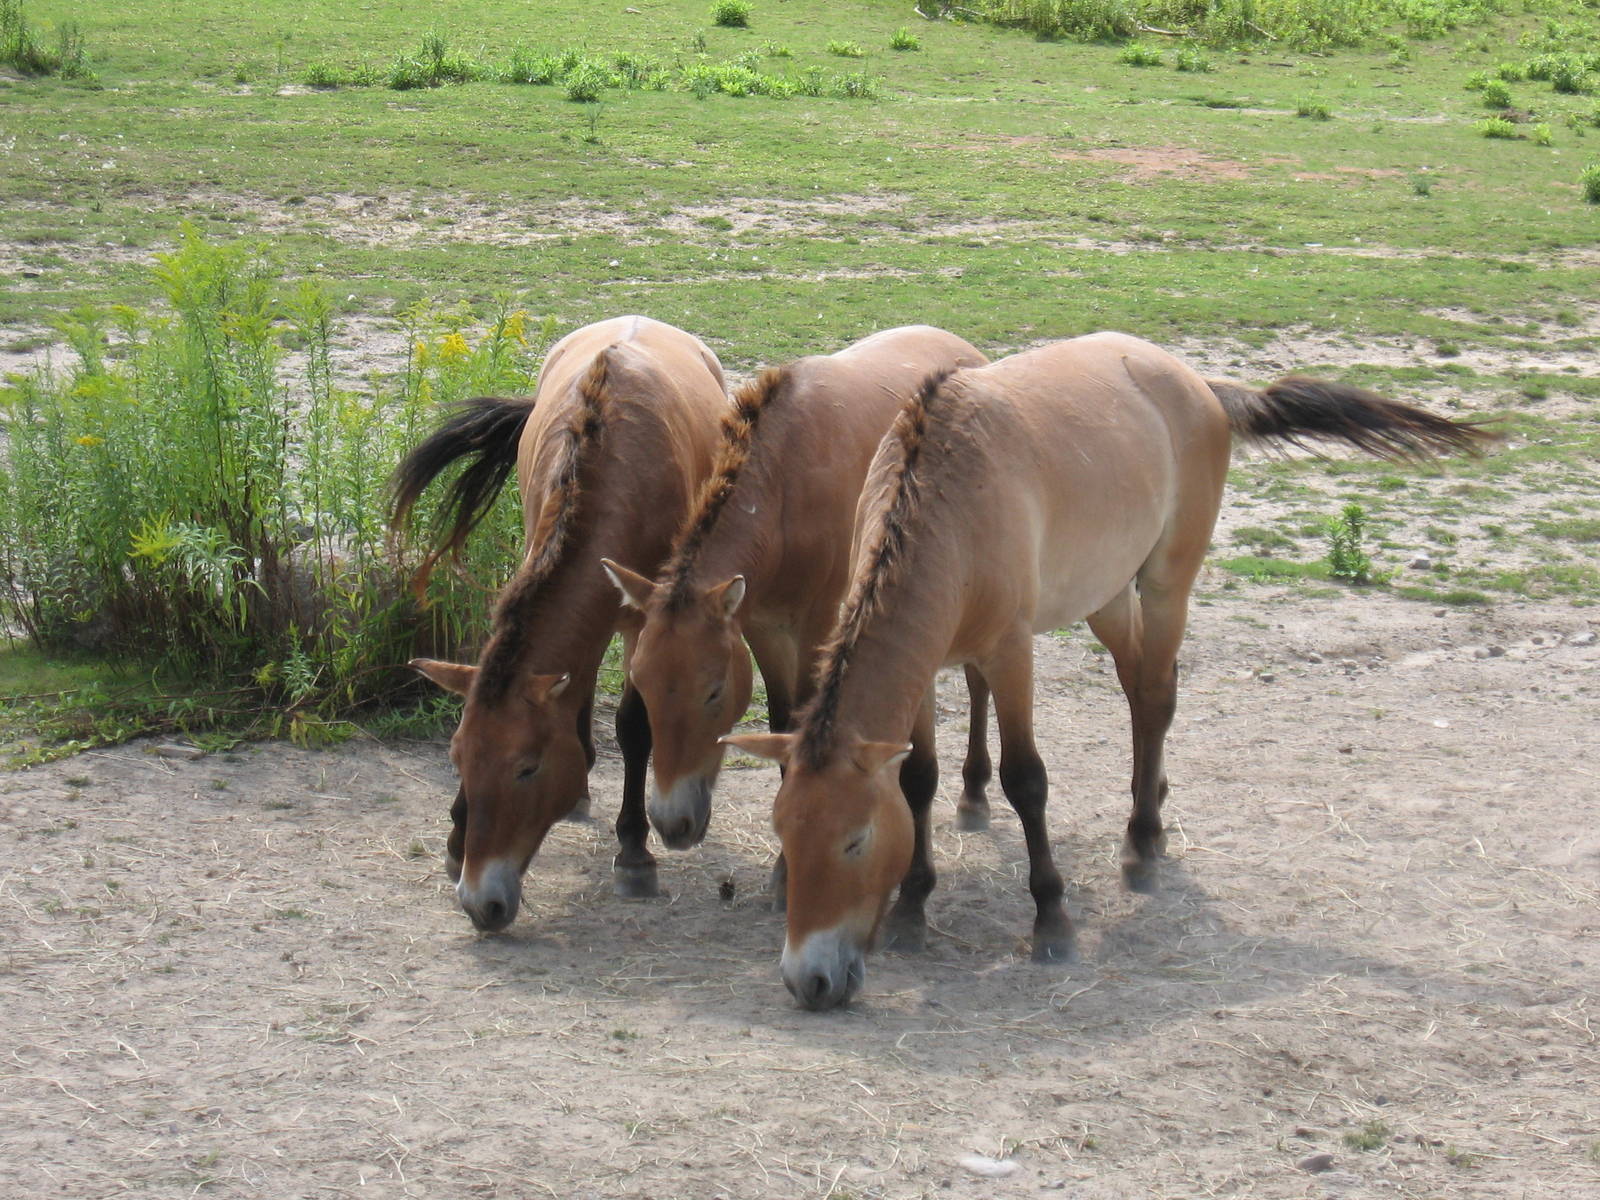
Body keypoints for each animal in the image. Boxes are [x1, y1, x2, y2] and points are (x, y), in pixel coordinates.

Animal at [389, 316, 729, 932]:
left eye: (528, 769)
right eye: (456, 757)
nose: (480, 903)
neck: (614, 468)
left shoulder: (644, 620)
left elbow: (635, 727)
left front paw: (634, 852)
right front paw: (455, 836)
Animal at [598, 327, 994, 879]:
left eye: (714, 692)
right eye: (643, 684)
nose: (672, 824)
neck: (785, 483)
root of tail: (965, 350)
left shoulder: (818, 626)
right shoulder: (762, 625)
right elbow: (783, 723)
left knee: (979, 684)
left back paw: (975, 794)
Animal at [725, 332, 1497, 1009]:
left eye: (853, 841)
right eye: (783, 832)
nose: (809, 981)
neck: (947, 506)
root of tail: (1197, 382)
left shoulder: (1010, 652)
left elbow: (1026, 781)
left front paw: (1052, 921)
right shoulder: (926, 664)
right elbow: (918, 778)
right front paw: (914, 907)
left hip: (1165, 583)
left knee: (1154, 695)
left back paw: (1144, 844)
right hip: (1106, 595)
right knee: (1140, 684)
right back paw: (1149, 807)